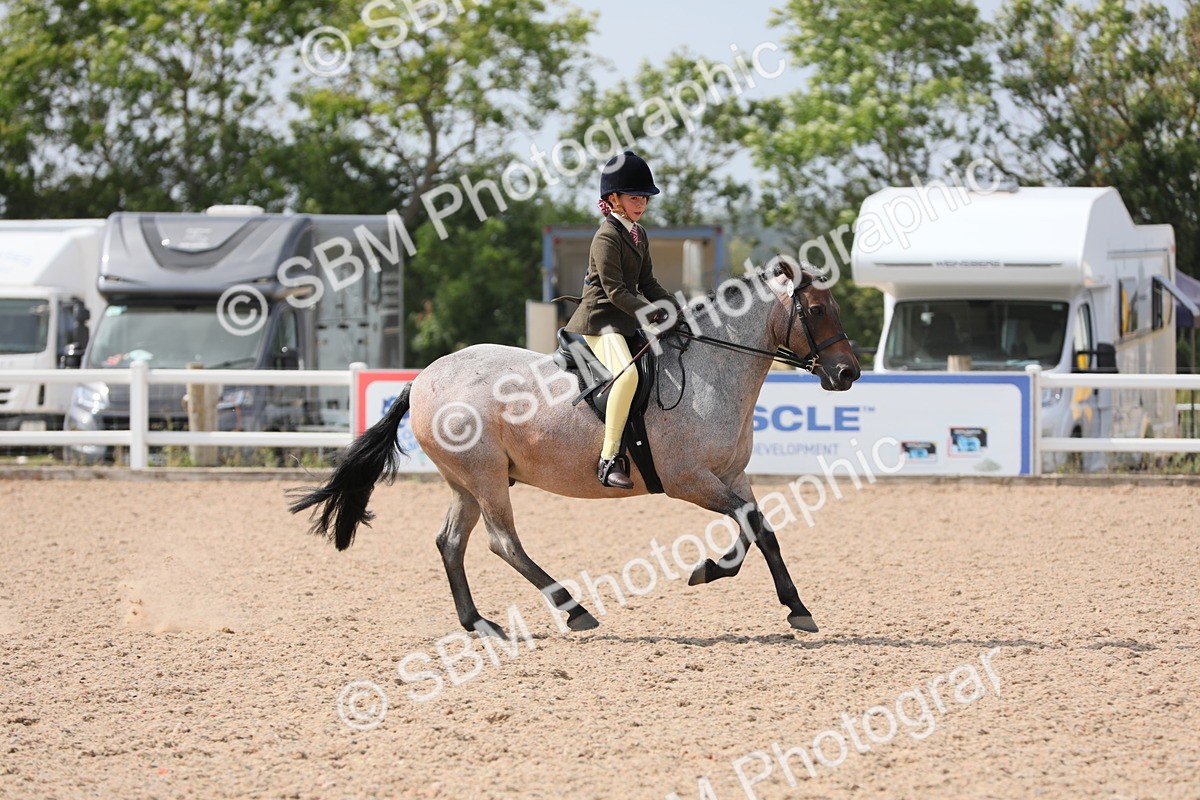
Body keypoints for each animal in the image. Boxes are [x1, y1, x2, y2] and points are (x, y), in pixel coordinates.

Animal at [289, 261, 860, 636]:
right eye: (815, 309)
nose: (847, 374)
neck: (710, 371)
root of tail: (423, 378)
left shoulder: (732, 476)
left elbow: (759, 530)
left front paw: (775, 597)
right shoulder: (689, 481)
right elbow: (753, 524)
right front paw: (749, 587)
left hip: (465, 482)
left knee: (450, 542)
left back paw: (479, 623)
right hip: (486, 478)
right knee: (503, 543)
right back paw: (575, 610)